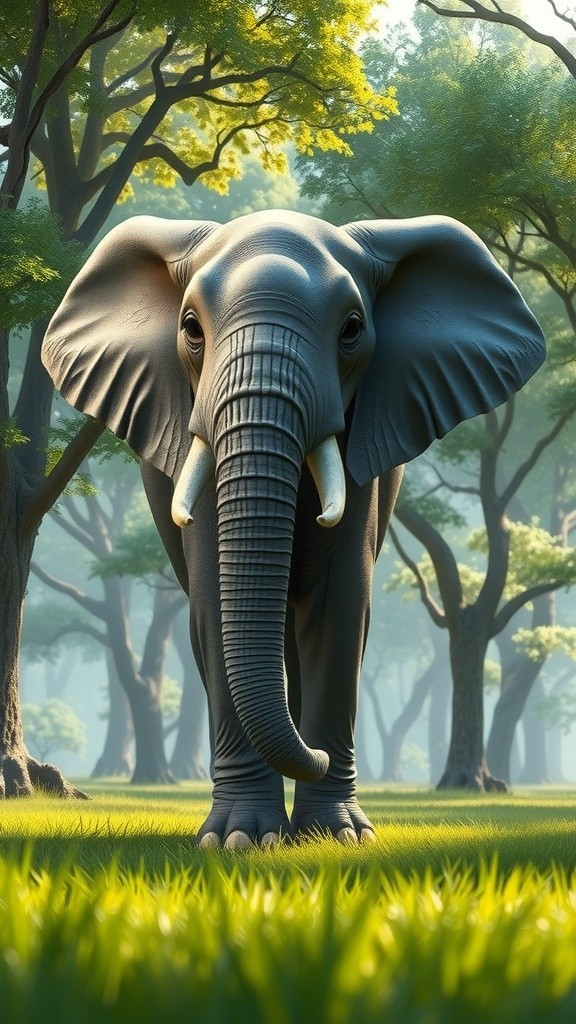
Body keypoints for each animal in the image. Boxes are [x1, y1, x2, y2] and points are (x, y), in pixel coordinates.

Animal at [42, 210, 545, 847]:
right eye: (191, 329)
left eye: (352, 329)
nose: (320, 756)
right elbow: (214, 604)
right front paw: (239, 840)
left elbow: (339, 604)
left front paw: (339, 835)